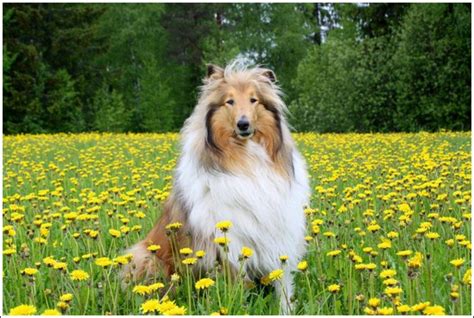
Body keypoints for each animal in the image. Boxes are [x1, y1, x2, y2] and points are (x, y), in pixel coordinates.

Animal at [120, 60, 310, 314]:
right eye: (229, 101)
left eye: (254, 99)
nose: (243, 124)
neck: (246, 159)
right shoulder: (228, 241)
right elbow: (238, 285)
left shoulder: (278, 233)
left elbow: (283, 284)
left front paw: (285, 310)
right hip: (146, 256)